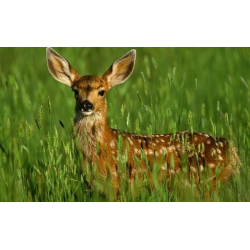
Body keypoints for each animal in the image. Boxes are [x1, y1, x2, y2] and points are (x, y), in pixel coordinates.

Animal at [46, 47, 241, 201]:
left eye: (101, 92)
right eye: (75, 91)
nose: (86, 105)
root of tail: (230, 148)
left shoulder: (117, 184)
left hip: (202, 182)